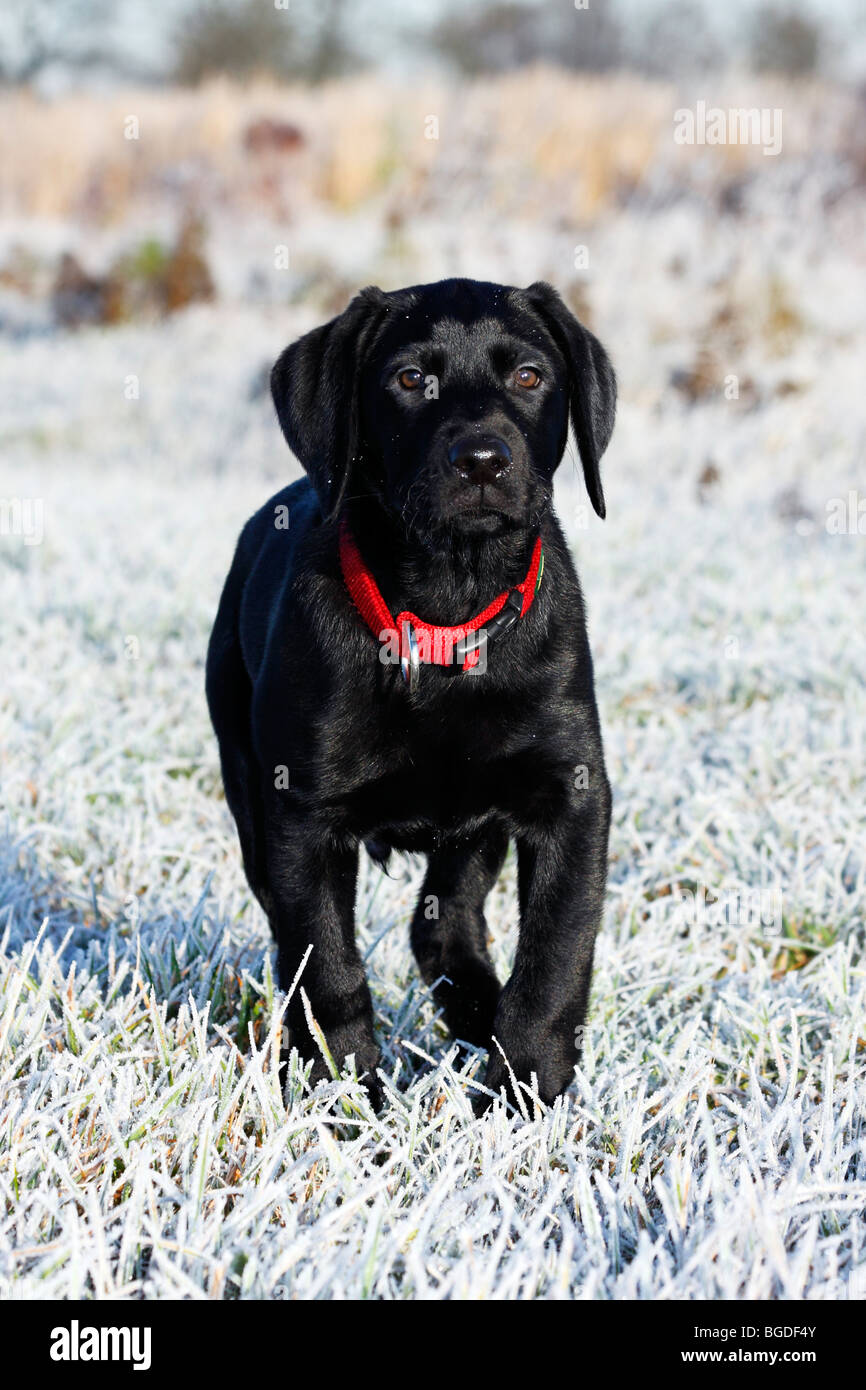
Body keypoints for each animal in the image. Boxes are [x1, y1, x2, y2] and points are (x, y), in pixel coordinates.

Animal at [207, 276, 617, 1112]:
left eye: (529, 376)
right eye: (409, 378)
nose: (483, 458)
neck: (445, 612)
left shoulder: (573, 794)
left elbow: (555, 959)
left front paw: (524, 1093)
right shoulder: (301, 817)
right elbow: (326, 969)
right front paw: (347, 1098)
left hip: (474, 825)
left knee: (445, 924)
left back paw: (476, 1011)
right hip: (249, 795)